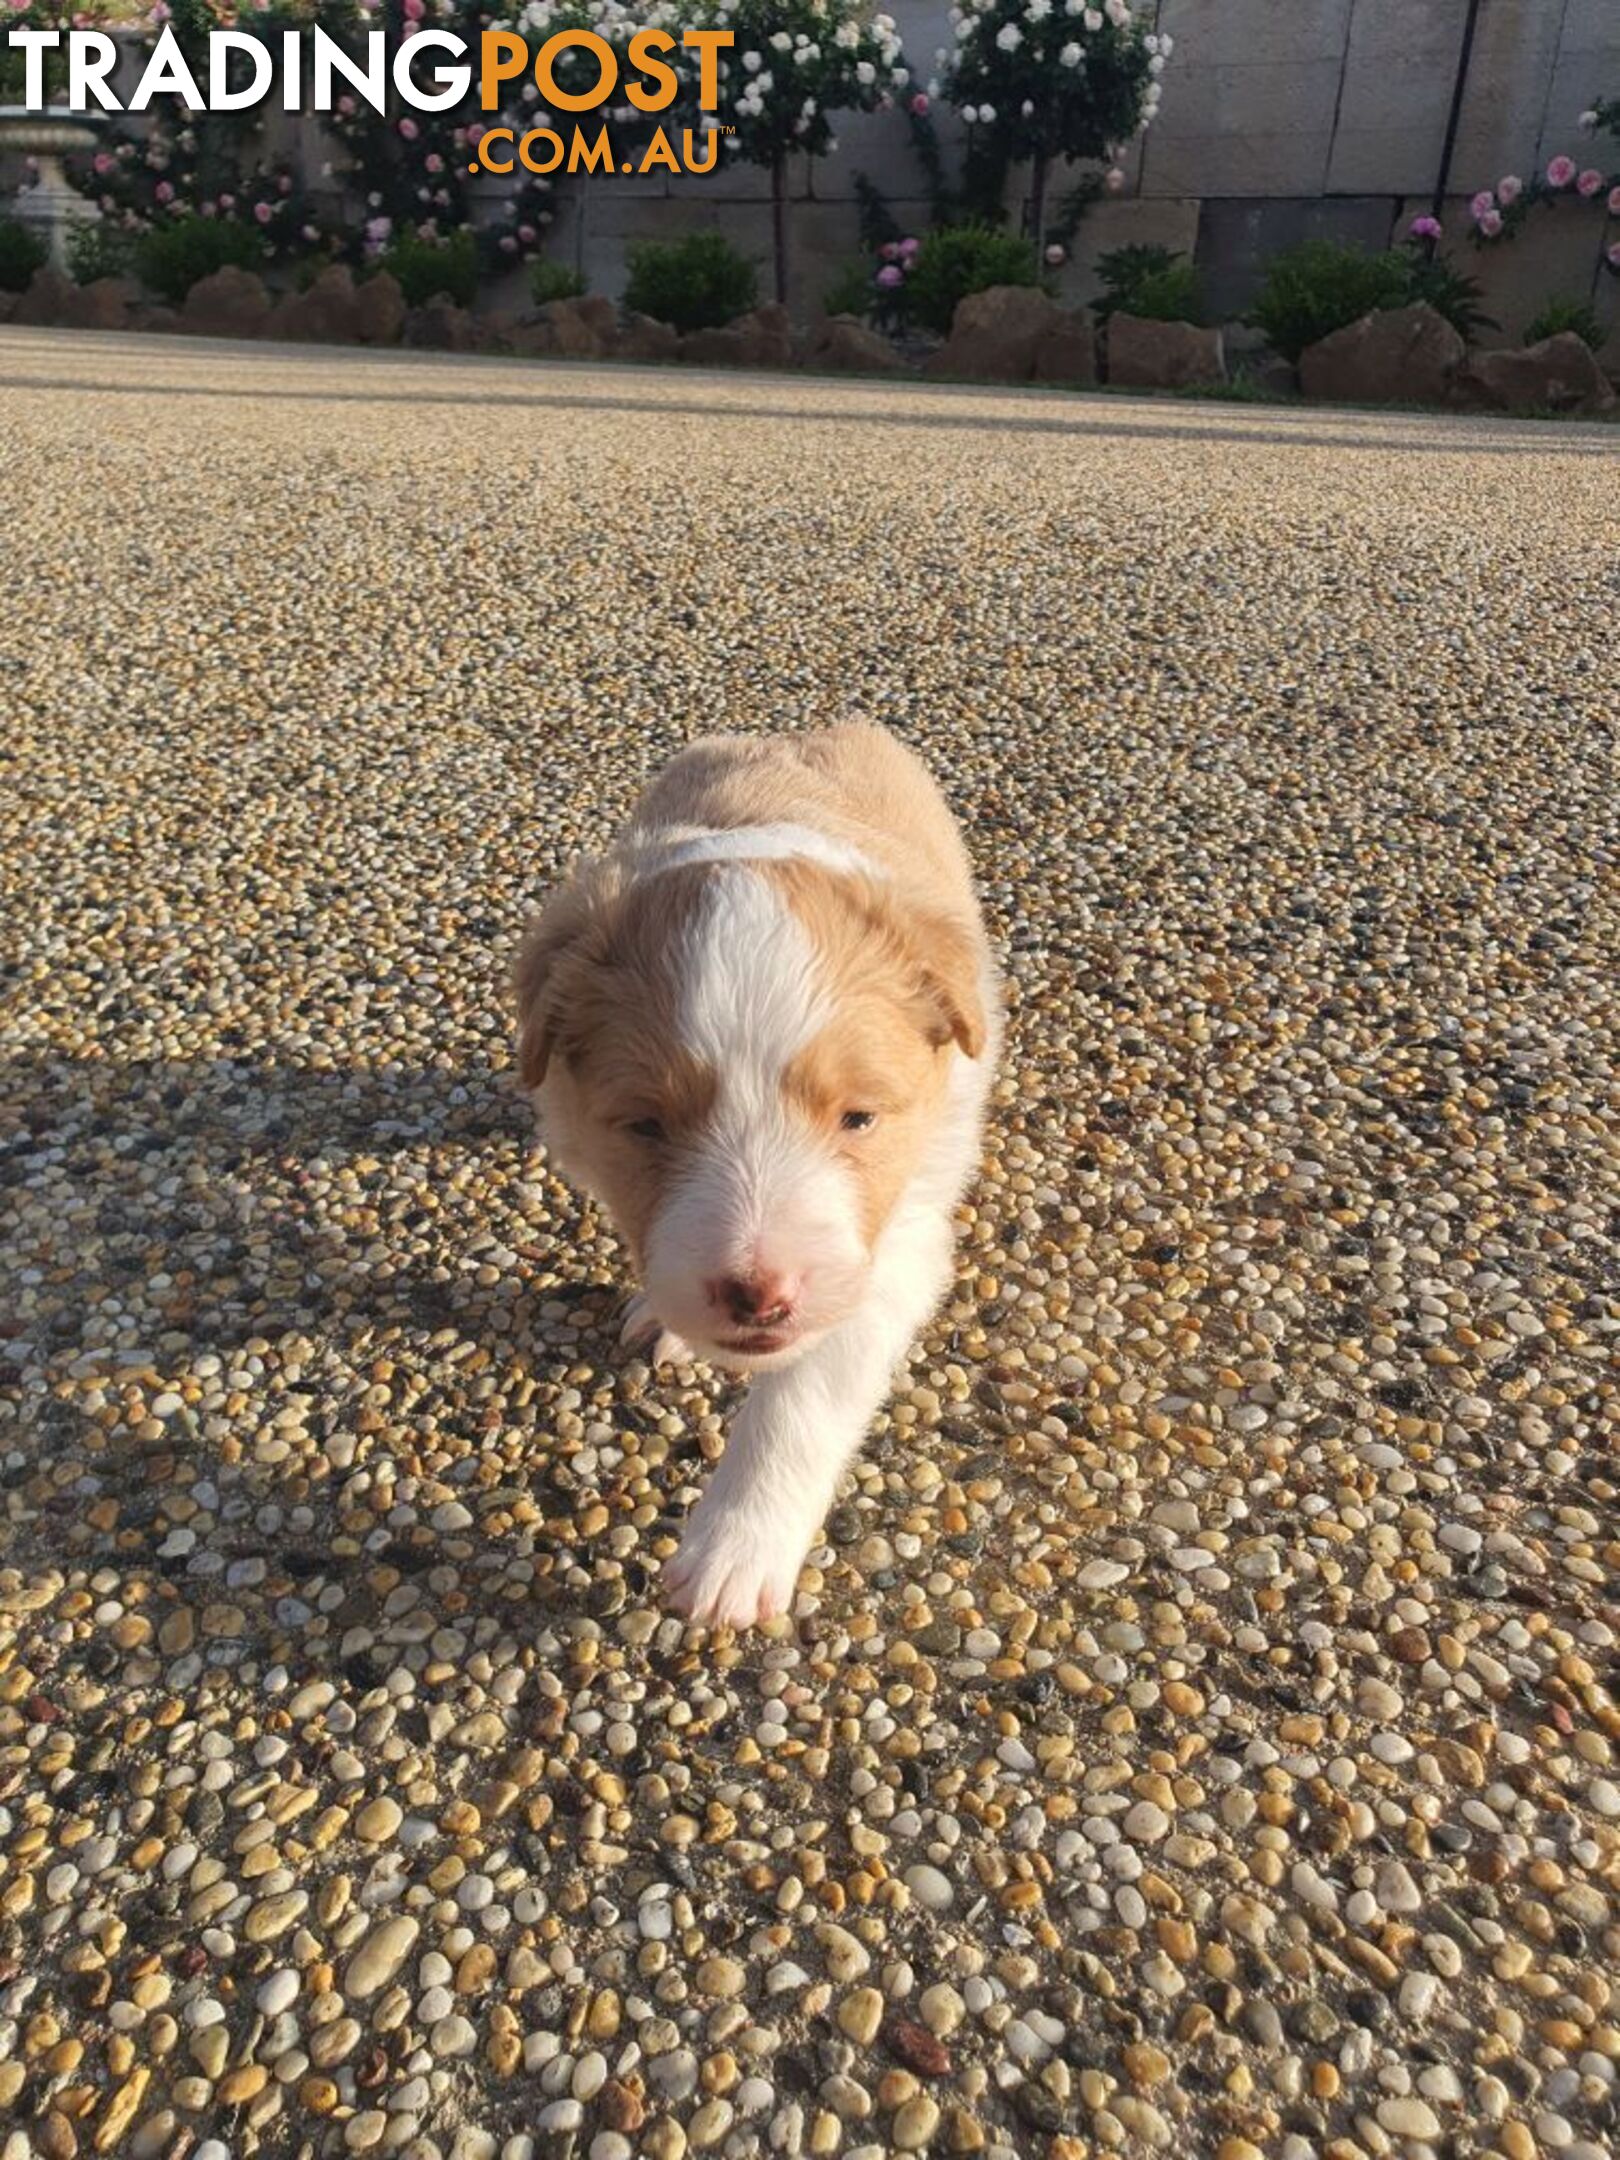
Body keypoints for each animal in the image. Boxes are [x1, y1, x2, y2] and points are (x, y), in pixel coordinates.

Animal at [516, 721, 1002, 1624]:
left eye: (859, 1118)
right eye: (645, 1125)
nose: (757, 1294)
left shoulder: (892, 1249)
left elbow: (800, 1401)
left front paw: (734, 1549)